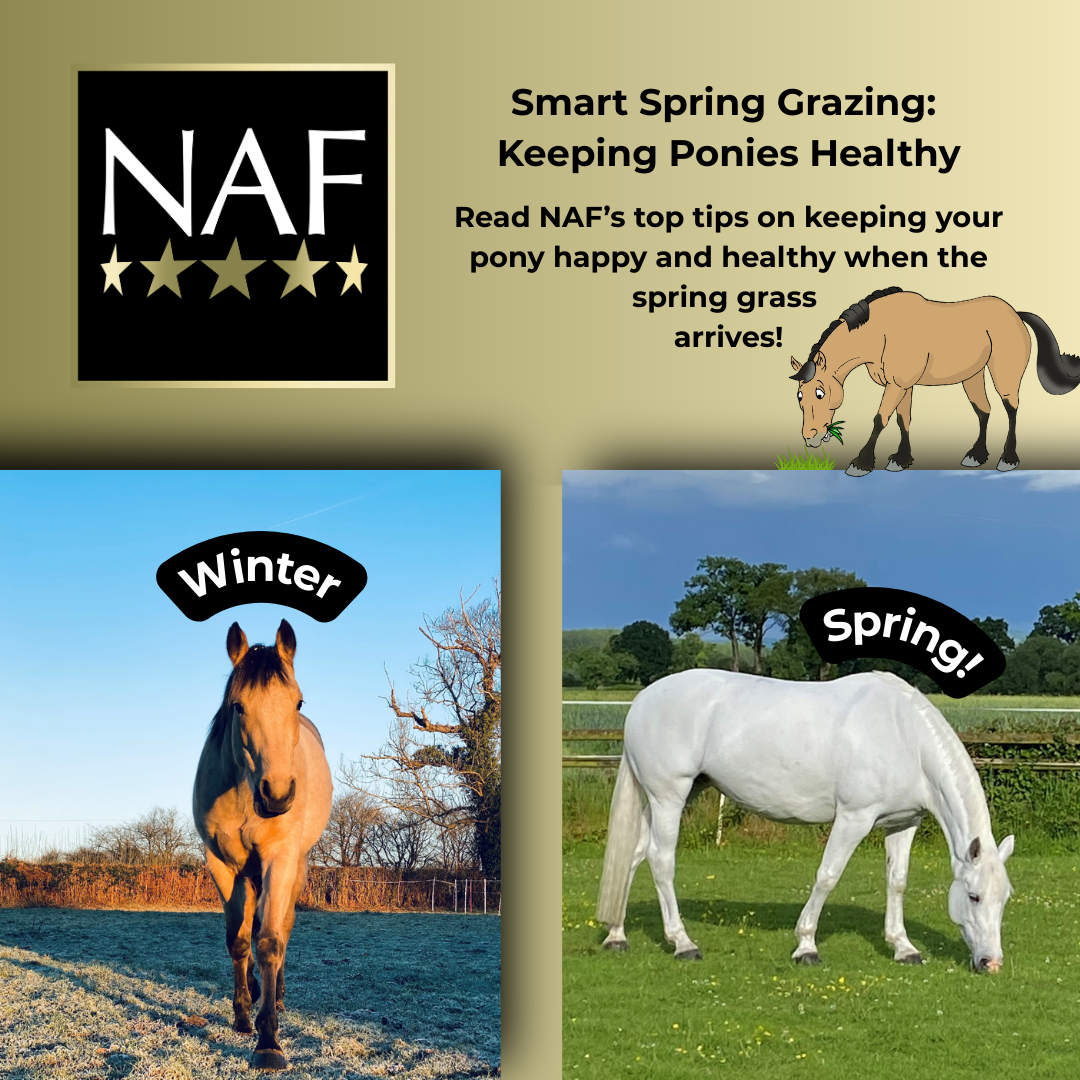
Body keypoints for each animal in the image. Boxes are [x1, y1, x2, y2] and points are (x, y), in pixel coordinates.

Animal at [193, 619, 333, 1070]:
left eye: (298, 702)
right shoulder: (221, 865)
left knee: (282, 929)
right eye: (238, 706)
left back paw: (280, 998)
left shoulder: (279, 860)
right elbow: (238, 940)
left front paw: (269, 1041)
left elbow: (270, 941)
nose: (277, 794)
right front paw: (242, 1016)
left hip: (295, 870)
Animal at [596, 669, 1014, 971]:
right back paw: (682, 943)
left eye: (1005, 898)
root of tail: (642, 701)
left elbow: (897, 883)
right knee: (660, 860)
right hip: (669, 797)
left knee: (633, 855)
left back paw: (617, 936)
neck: (904, 737)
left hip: (671, 797)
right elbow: (827, 876)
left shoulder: (902, 823)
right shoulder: (854, 818)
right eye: (973, 896)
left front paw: (904, 947)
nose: (990, 963)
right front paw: (806, 946)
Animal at [788, 287, 1080, 476]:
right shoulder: (902, 386)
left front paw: (861, 463)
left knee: (1011, 409)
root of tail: (1016, 314)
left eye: (820, 393)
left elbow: (881, 419)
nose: (811, 438)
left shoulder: (897, 385)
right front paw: (901, 460)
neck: (882, 332)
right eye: (799, 396)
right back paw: (975, 456)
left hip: (1004, 374)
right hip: (972, 376)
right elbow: (903, 419)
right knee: (984, 410)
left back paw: (1007, 460)